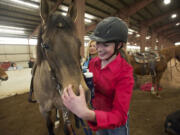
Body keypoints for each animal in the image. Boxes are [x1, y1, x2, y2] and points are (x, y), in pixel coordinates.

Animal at [32, 0, 90, 134]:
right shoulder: (43, 110)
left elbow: (67, 128)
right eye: (46, 45)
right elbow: (49, 125)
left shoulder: (65, 107)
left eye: (79, 43)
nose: (79, 94)